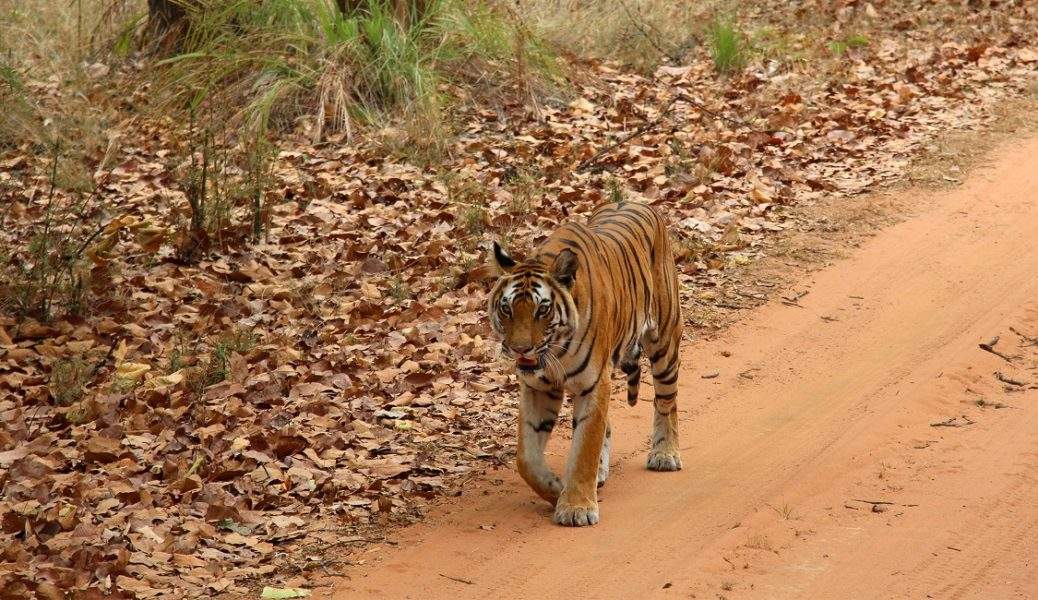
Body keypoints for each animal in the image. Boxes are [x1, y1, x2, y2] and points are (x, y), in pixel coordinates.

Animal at [487, 200, 683, 527]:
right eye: (507, 309)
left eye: (542, 310)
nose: (519, 349)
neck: (556, 350)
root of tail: (637, 202)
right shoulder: (538, 387)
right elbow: (526, 458)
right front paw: (555, 488)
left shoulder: (593, 384)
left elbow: (584, 447)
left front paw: (575, 507)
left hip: (665, 342)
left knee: (666, 401)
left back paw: (665, 454)